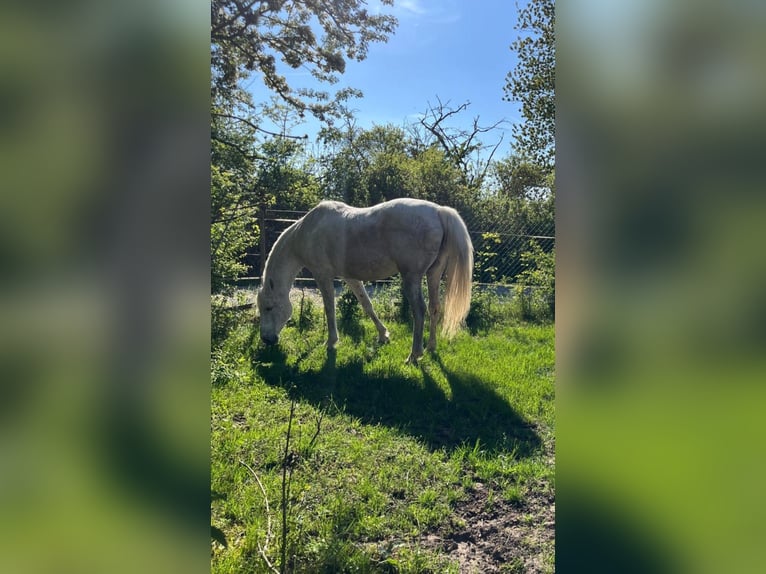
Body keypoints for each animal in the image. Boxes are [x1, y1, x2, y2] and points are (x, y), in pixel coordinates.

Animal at [257, 198, 473, 364]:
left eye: (268, 308)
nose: (267, 340)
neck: (307, 231)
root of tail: (438, 211)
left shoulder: (323, 275)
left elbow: (329, 308)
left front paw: (331, 342)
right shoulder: (350, 278)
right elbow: (367, 305)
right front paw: (383, 336)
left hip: (412, 277)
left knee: (419, 311)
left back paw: (414, 355)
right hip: (433, 274)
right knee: (434, 307)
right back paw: (430, 347)